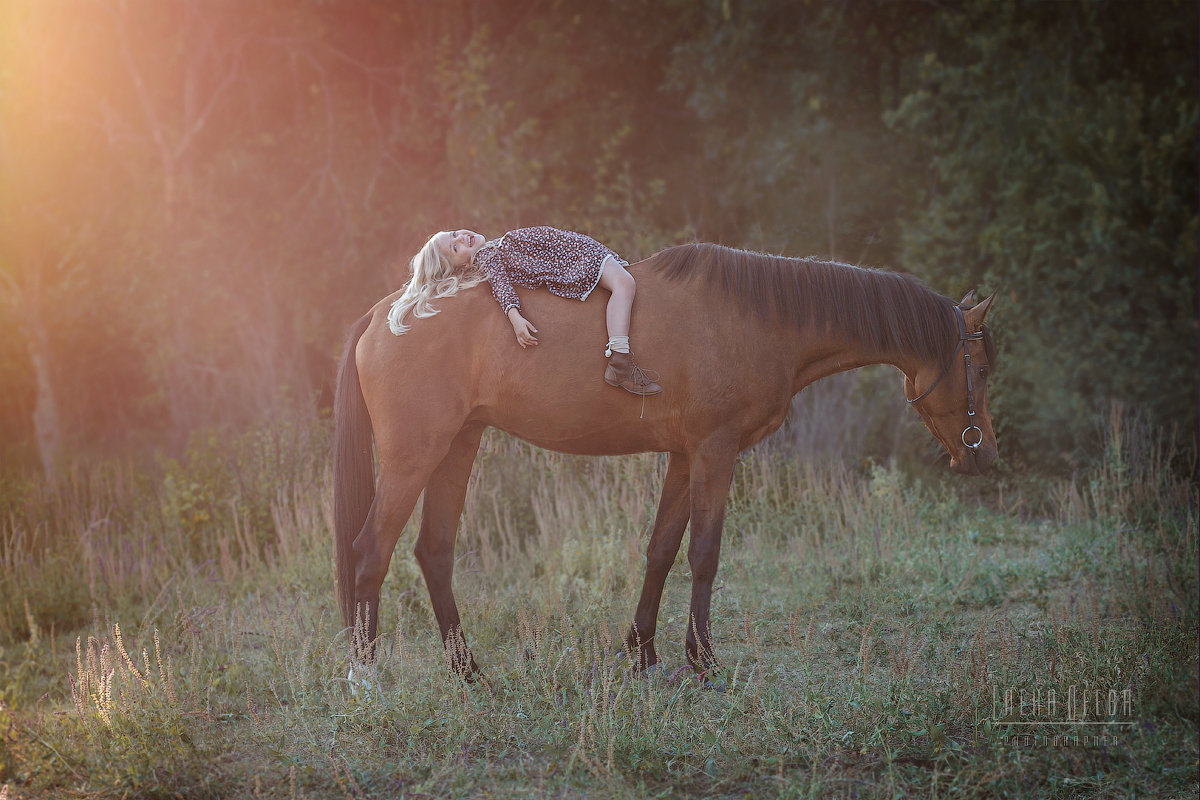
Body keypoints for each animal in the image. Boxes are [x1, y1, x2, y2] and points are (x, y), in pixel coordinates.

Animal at [333, 244, 998, 681]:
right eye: (984, 366)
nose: (983, 454)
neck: (755, 320)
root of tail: (386, 313)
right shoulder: (715, 452)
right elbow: (704, 553)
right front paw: (703, 660)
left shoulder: (685, 456)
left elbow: (662, 549)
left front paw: (643, 651)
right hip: (416, 456)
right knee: (371, 550)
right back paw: (366, 674)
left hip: (458, 446)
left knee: (433, 552)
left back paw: (468, 670)